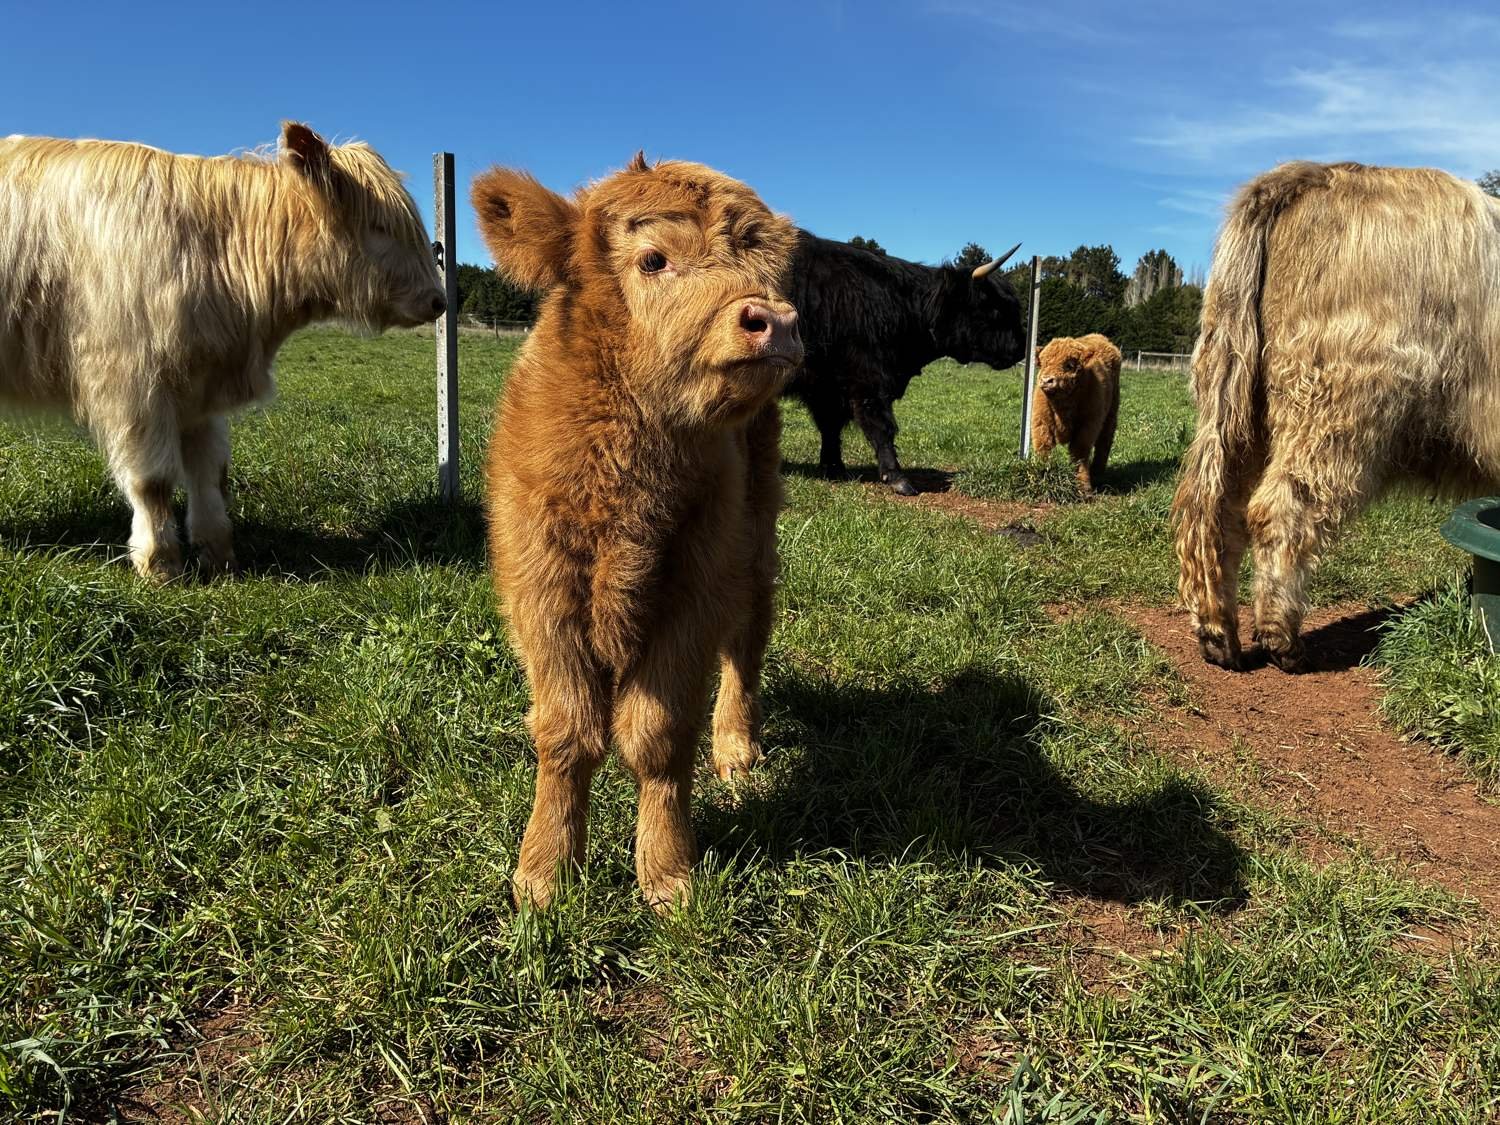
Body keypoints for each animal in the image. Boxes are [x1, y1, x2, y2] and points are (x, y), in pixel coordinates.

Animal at [0, 123, 445, 579]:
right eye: (379, 226)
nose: (438, 301)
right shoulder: (134, 381)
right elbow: (153, 480)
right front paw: (160, 561)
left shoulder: (198, 384)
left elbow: (210, 473)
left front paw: (218, 554)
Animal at [473, 154, 802, 910]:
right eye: (654, 259)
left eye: (768, 267)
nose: (772, 319)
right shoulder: (542, 591)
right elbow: (566, 732)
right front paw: (545, 872)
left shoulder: (694, 588)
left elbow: (657, 732)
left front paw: (667, 872)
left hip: (753, 534)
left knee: (749, 635)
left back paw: (736, 745)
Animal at [783, 235, 1025, 494]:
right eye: (995, 310)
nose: (1021, 347)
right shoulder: (866, 379)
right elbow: (881, 427)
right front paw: (897, 477)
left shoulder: (827, 387)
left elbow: (831, 427)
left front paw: (834, 469)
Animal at [1032, 333, 1121, 493]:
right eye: (1043, 363)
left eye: (1069, 365)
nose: (1047, 380)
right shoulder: (1041, 425)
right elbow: (1043, 450)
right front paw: (1040, 479)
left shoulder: (1088, 426)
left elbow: (1079, 453)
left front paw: (1083, 486)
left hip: (1110, 416)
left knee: (1104, 444)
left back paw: (1097, 474)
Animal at [1174, 161, 1500, 671]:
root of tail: (1317, 172)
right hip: (1339, 402)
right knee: (1280, 509)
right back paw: (1282, 641)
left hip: (1237, 395)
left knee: (1216, 507)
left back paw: (1218, 635)